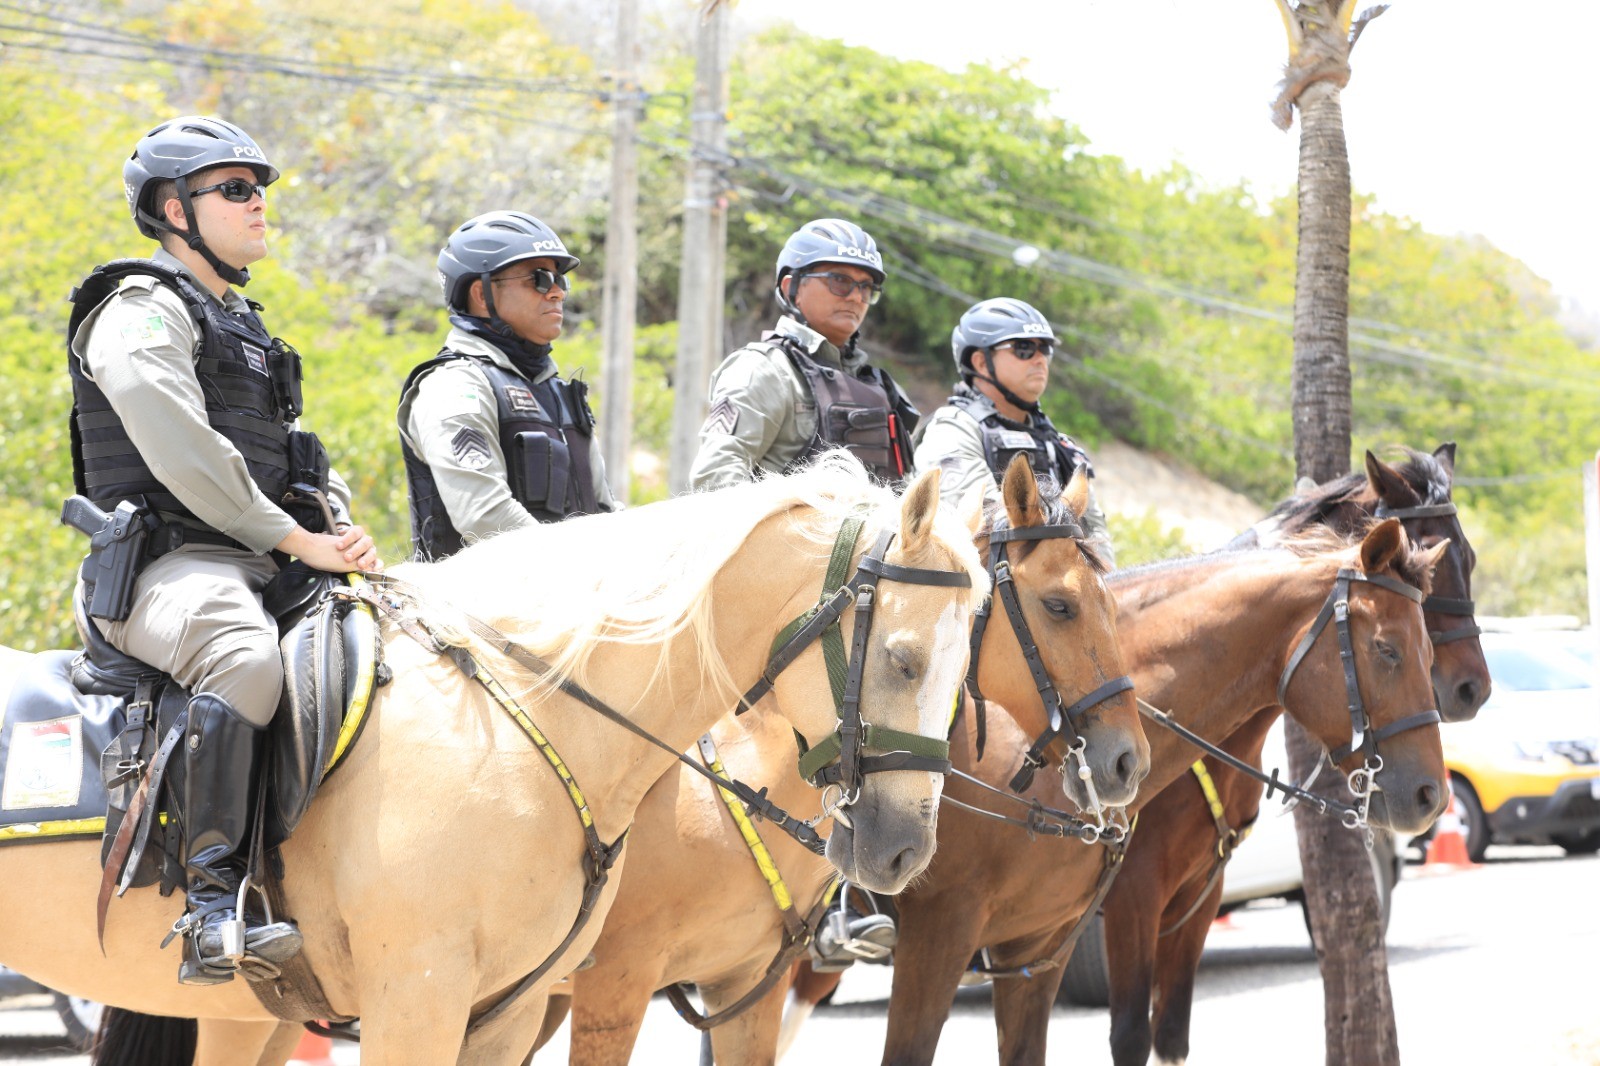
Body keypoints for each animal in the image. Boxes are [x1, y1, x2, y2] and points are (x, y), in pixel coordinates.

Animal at [0, 457, 992, 1062]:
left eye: (962, 671)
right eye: (904, 660)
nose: (903, 851)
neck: (521, 715)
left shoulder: (511, 1014)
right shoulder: (425, 1004)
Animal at [1100, 438, 1484, 1062]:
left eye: (1467, 557)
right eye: (1428, 551)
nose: (1476, 687)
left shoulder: (1197, 895)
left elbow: (1172, 1031)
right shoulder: (1132, 897)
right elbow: (1130, 1034)